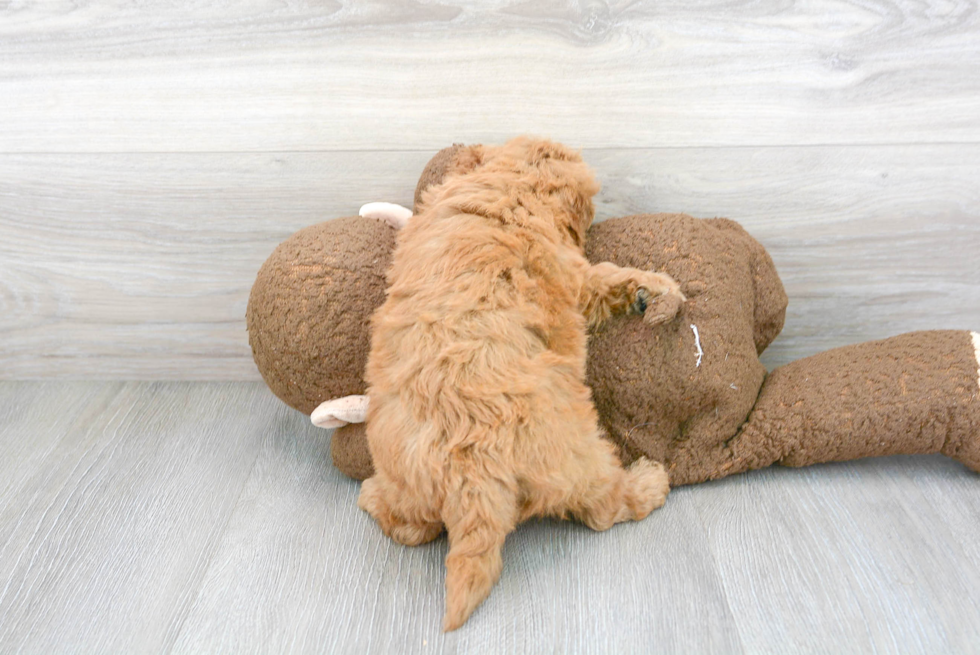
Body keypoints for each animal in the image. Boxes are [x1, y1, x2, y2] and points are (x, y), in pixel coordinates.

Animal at [356, 135, 684, 632]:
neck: (510, 187)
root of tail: (471, 478)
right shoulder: (577, 278)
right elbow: (609, 276)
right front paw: (653, 286)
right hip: (579, 455)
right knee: (604, 508)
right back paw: (649, 481)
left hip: (405, 476)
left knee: (410, 528)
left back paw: (371, 496)